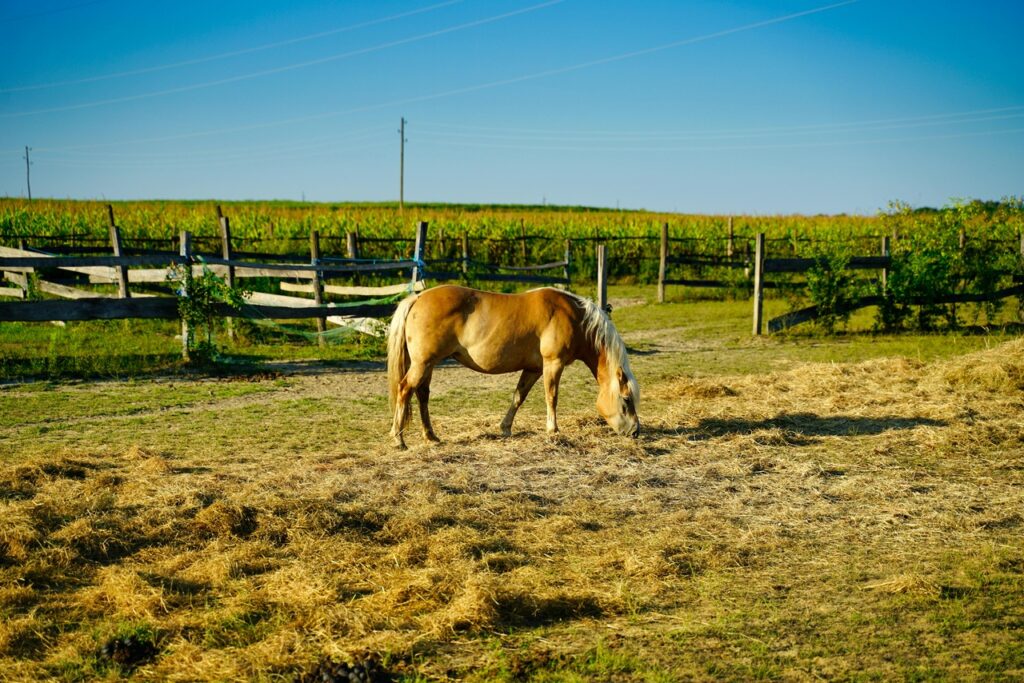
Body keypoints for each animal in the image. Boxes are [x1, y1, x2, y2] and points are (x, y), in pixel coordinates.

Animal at [387, 285, 640, 449]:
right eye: (626, 400)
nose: (635, 431)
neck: (575, 318)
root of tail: (418, 298)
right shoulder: (553, 363)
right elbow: (552, 396)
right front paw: (553, 430)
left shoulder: (533, 369)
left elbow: (519, 397)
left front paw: (505, 428)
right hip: (423, 364)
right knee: (404, 390)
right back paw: (398, 439)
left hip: (427, 365)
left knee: (422, 395)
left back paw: (431, 437)